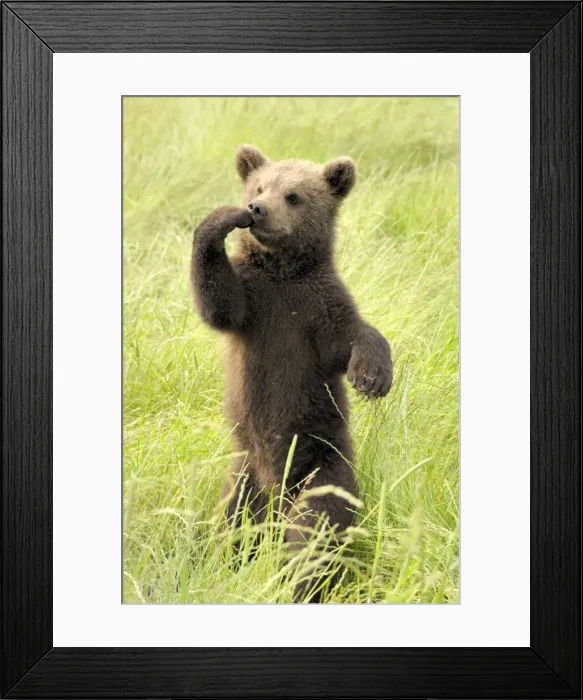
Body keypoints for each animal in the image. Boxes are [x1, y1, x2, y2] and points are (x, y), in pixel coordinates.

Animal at [190, 145, 393, 602]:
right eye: (259, 187)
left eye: (294, 196)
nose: (257, 209)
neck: (283, 272)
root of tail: (275, 492)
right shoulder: (253, 303)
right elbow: (218, 302)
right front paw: (220, 219)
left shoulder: (317, 309)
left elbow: (353, 336)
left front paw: (372, 377)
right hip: (244, 473)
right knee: (234, 523)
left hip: (321, 467)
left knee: (313, 529)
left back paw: (300, 581)